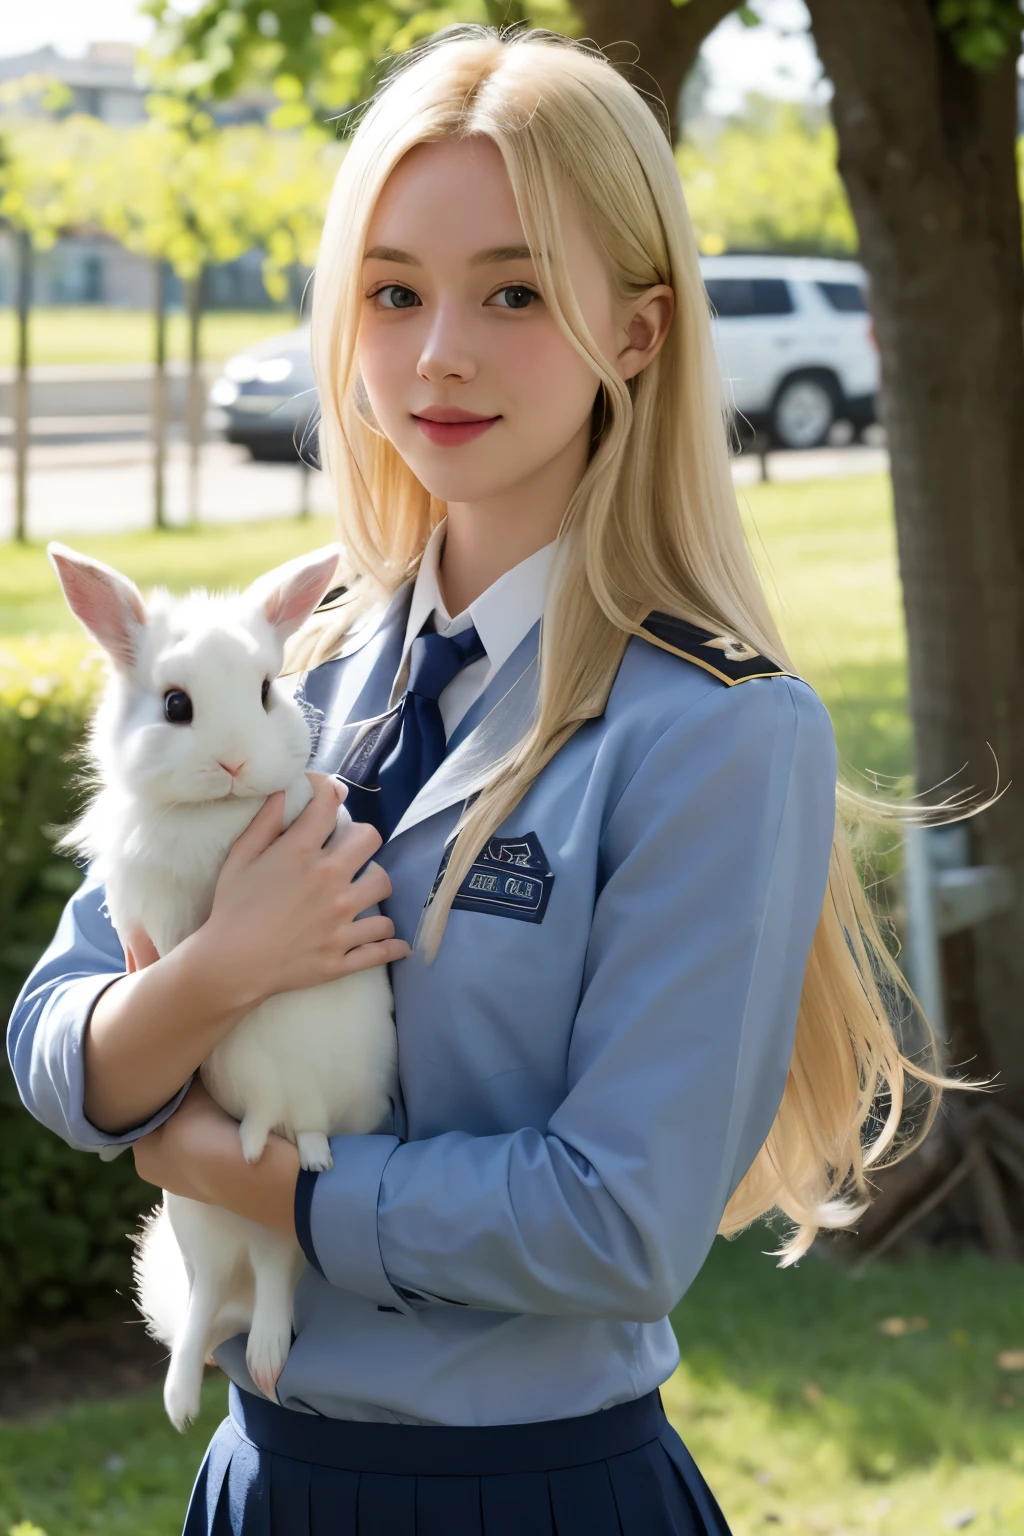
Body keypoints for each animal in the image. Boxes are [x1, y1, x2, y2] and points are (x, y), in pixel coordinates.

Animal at [49, 540, 399, 1425]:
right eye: (175, 705)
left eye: (269, 690)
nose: (236, 761)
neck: (220, 813)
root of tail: (289, 1114)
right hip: (197, 1213)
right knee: (208, 1294)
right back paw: (180, 1396)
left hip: (265, 1204)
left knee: (272, 1271)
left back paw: (264, 1355)